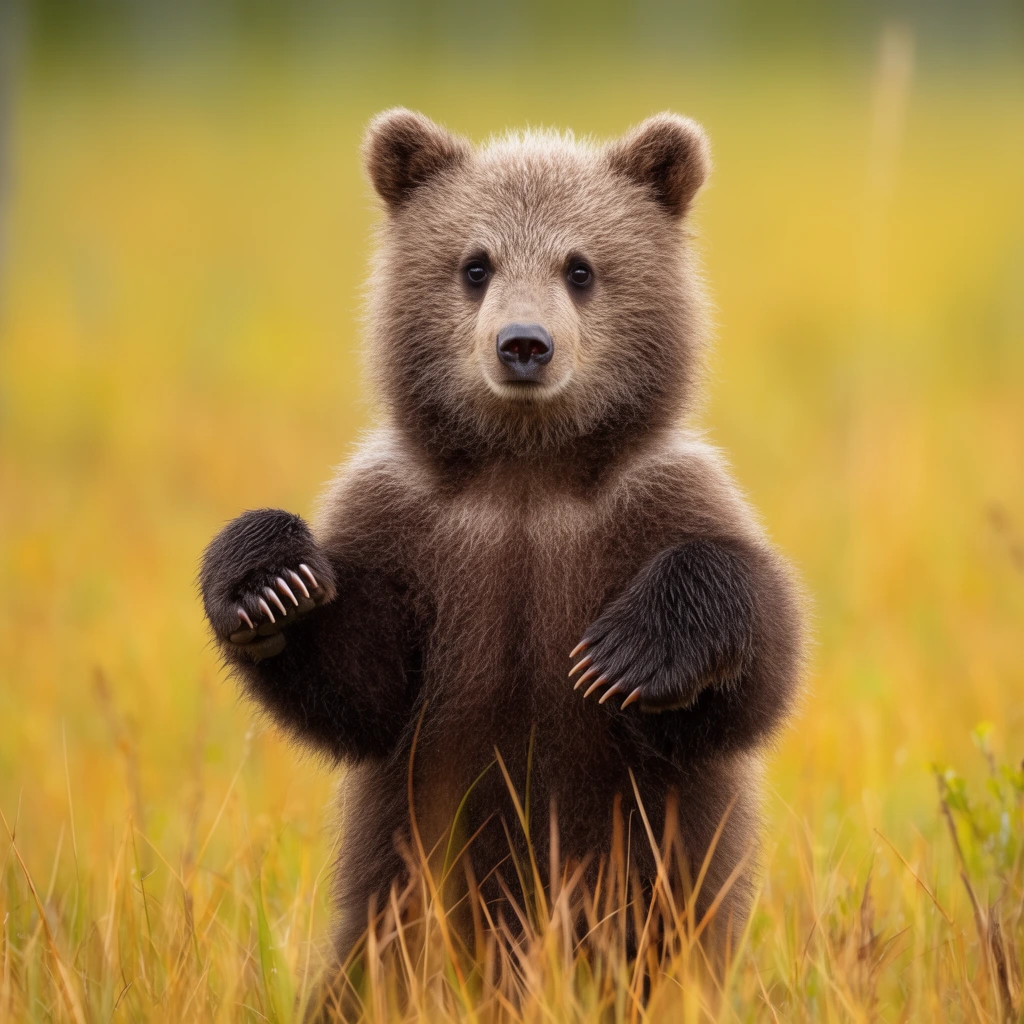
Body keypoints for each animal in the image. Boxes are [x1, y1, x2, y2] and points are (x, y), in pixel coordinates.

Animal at [200, 108, 804, 1001]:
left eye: (581, 267)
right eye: (474, 264)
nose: (524, 344)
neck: (527, 476)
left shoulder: (652, 506)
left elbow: (756, 675)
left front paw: (627, 653)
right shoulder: (417, 533)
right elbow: (362, 684)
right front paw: (269, 578)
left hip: (653, 912)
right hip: (396, 907)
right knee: (371, 974)